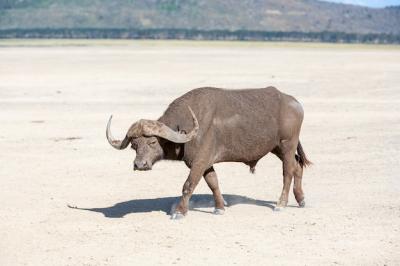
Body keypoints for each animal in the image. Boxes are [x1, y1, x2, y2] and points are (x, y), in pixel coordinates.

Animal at [105, 87, 310, 218]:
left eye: (153, 142)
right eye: (134, 145)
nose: (140, 165)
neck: (186, 131)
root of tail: (294, 102)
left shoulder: (199, 162)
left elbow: (188, 185)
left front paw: (179, 212)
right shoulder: (206, 163)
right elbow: (213, 184)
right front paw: (219, 208)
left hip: (287, 145)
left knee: (288, 172)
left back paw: (281, 204)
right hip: (276, 148)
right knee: (297, 166)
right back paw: (301, 200)